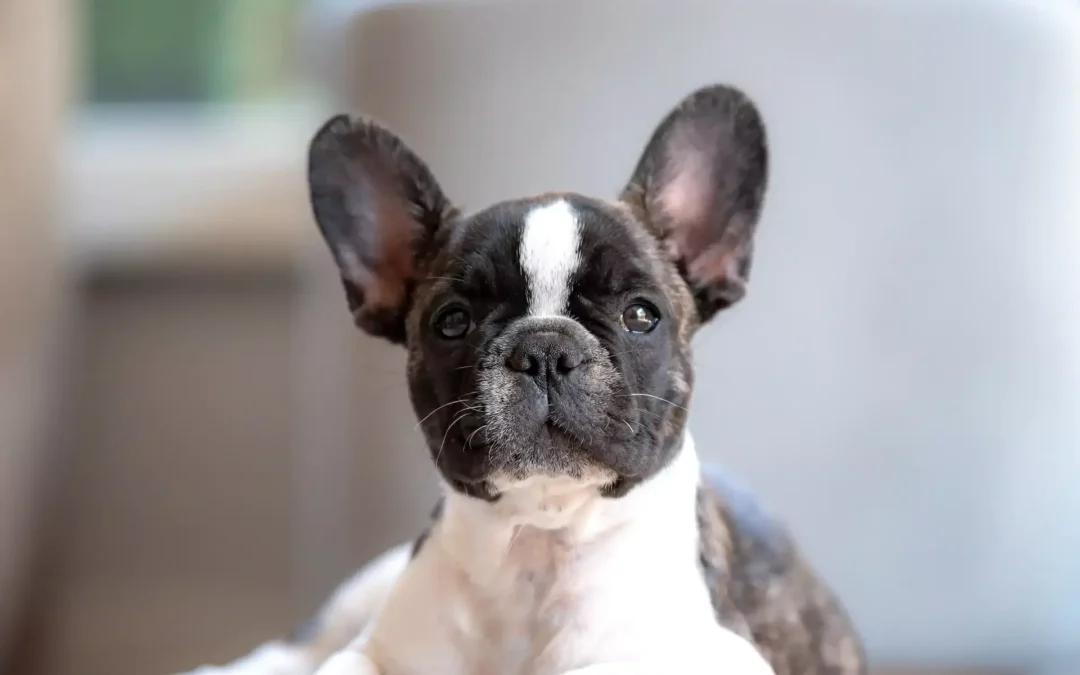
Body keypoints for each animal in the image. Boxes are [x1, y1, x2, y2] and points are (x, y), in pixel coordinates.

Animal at [181, 84, 864, 673]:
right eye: (452, 322)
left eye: (641, 315)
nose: (543, 350)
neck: (537, 538)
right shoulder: (376, 653)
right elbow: (341, 665)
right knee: (295, 650)